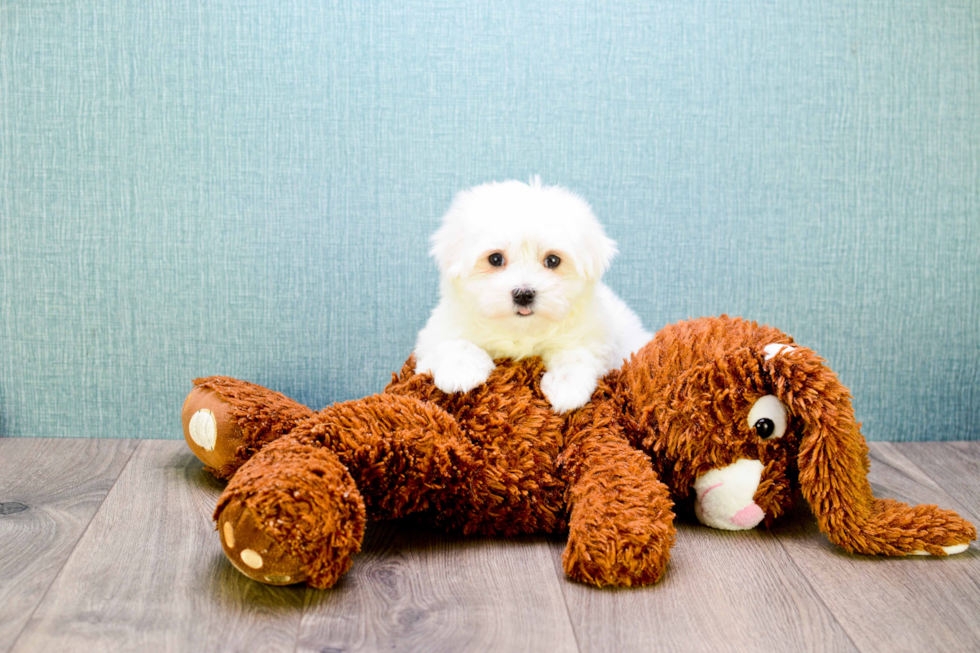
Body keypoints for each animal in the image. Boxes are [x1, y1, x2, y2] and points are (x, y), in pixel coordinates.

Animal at [414, 178, 652, 412]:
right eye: (495, 259)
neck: (522, 332)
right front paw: (460, 371)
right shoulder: (438, 332)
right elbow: (452, 343)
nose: (523, 294)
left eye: (553, 260)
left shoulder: (596, 337)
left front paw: (567, 386)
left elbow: (576, 352)